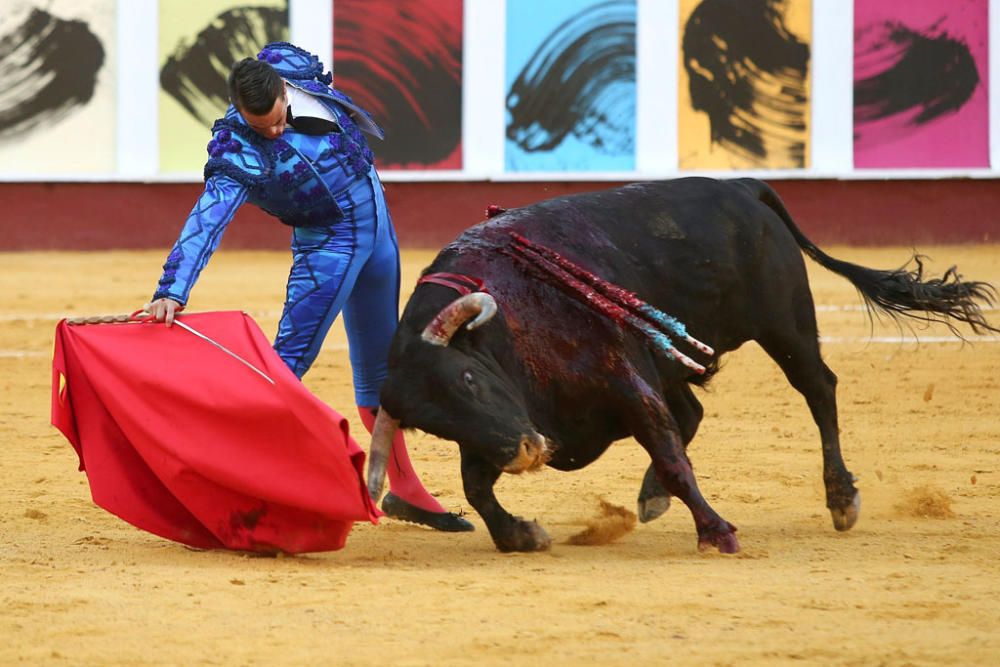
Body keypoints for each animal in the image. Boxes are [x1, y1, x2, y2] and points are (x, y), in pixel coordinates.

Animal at [368, 176, 1000, 552]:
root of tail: (740, 185)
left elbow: (670, 454)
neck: (508, 316)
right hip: (681, 359)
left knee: (819, 389)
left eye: (468, 378)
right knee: (694, 412)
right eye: (435, 425)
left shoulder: (622, 379)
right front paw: (520, 534)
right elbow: (475, 486)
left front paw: (717, 532)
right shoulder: (517, 421)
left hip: (786, 325)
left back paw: (841, 498)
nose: (524, 452)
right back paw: (650, 496)